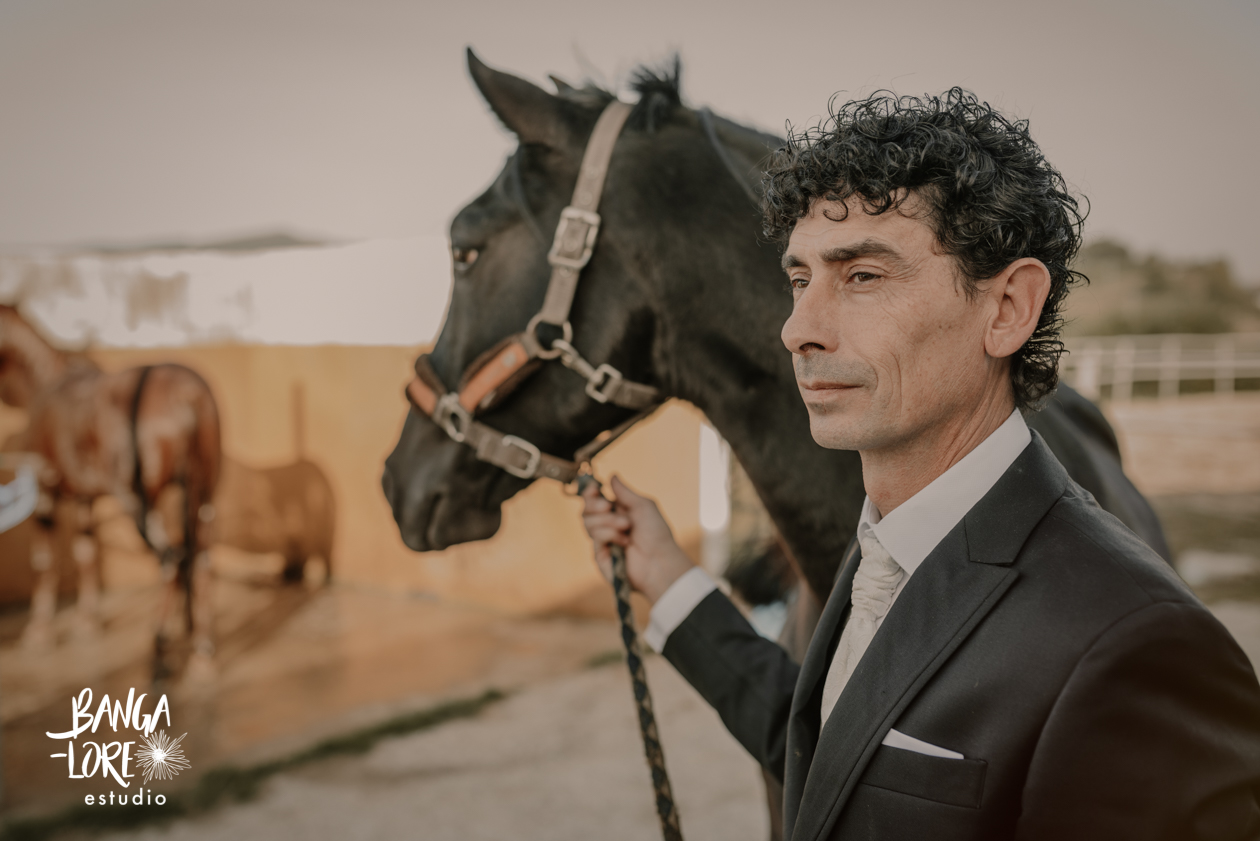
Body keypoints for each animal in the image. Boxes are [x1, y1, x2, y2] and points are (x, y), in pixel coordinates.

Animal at [0, 302, 221, 675]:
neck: (48, 379)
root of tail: (189, 393)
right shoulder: (85, 498)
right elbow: (86, 553)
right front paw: (86, 622)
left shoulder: (44, 490)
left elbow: (43, 562)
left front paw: (40, 630)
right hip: (203, 495)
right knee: (200, 561)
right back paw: (201, 652)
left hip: (137, 498)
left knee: (170, 559)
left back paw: (159, 644)